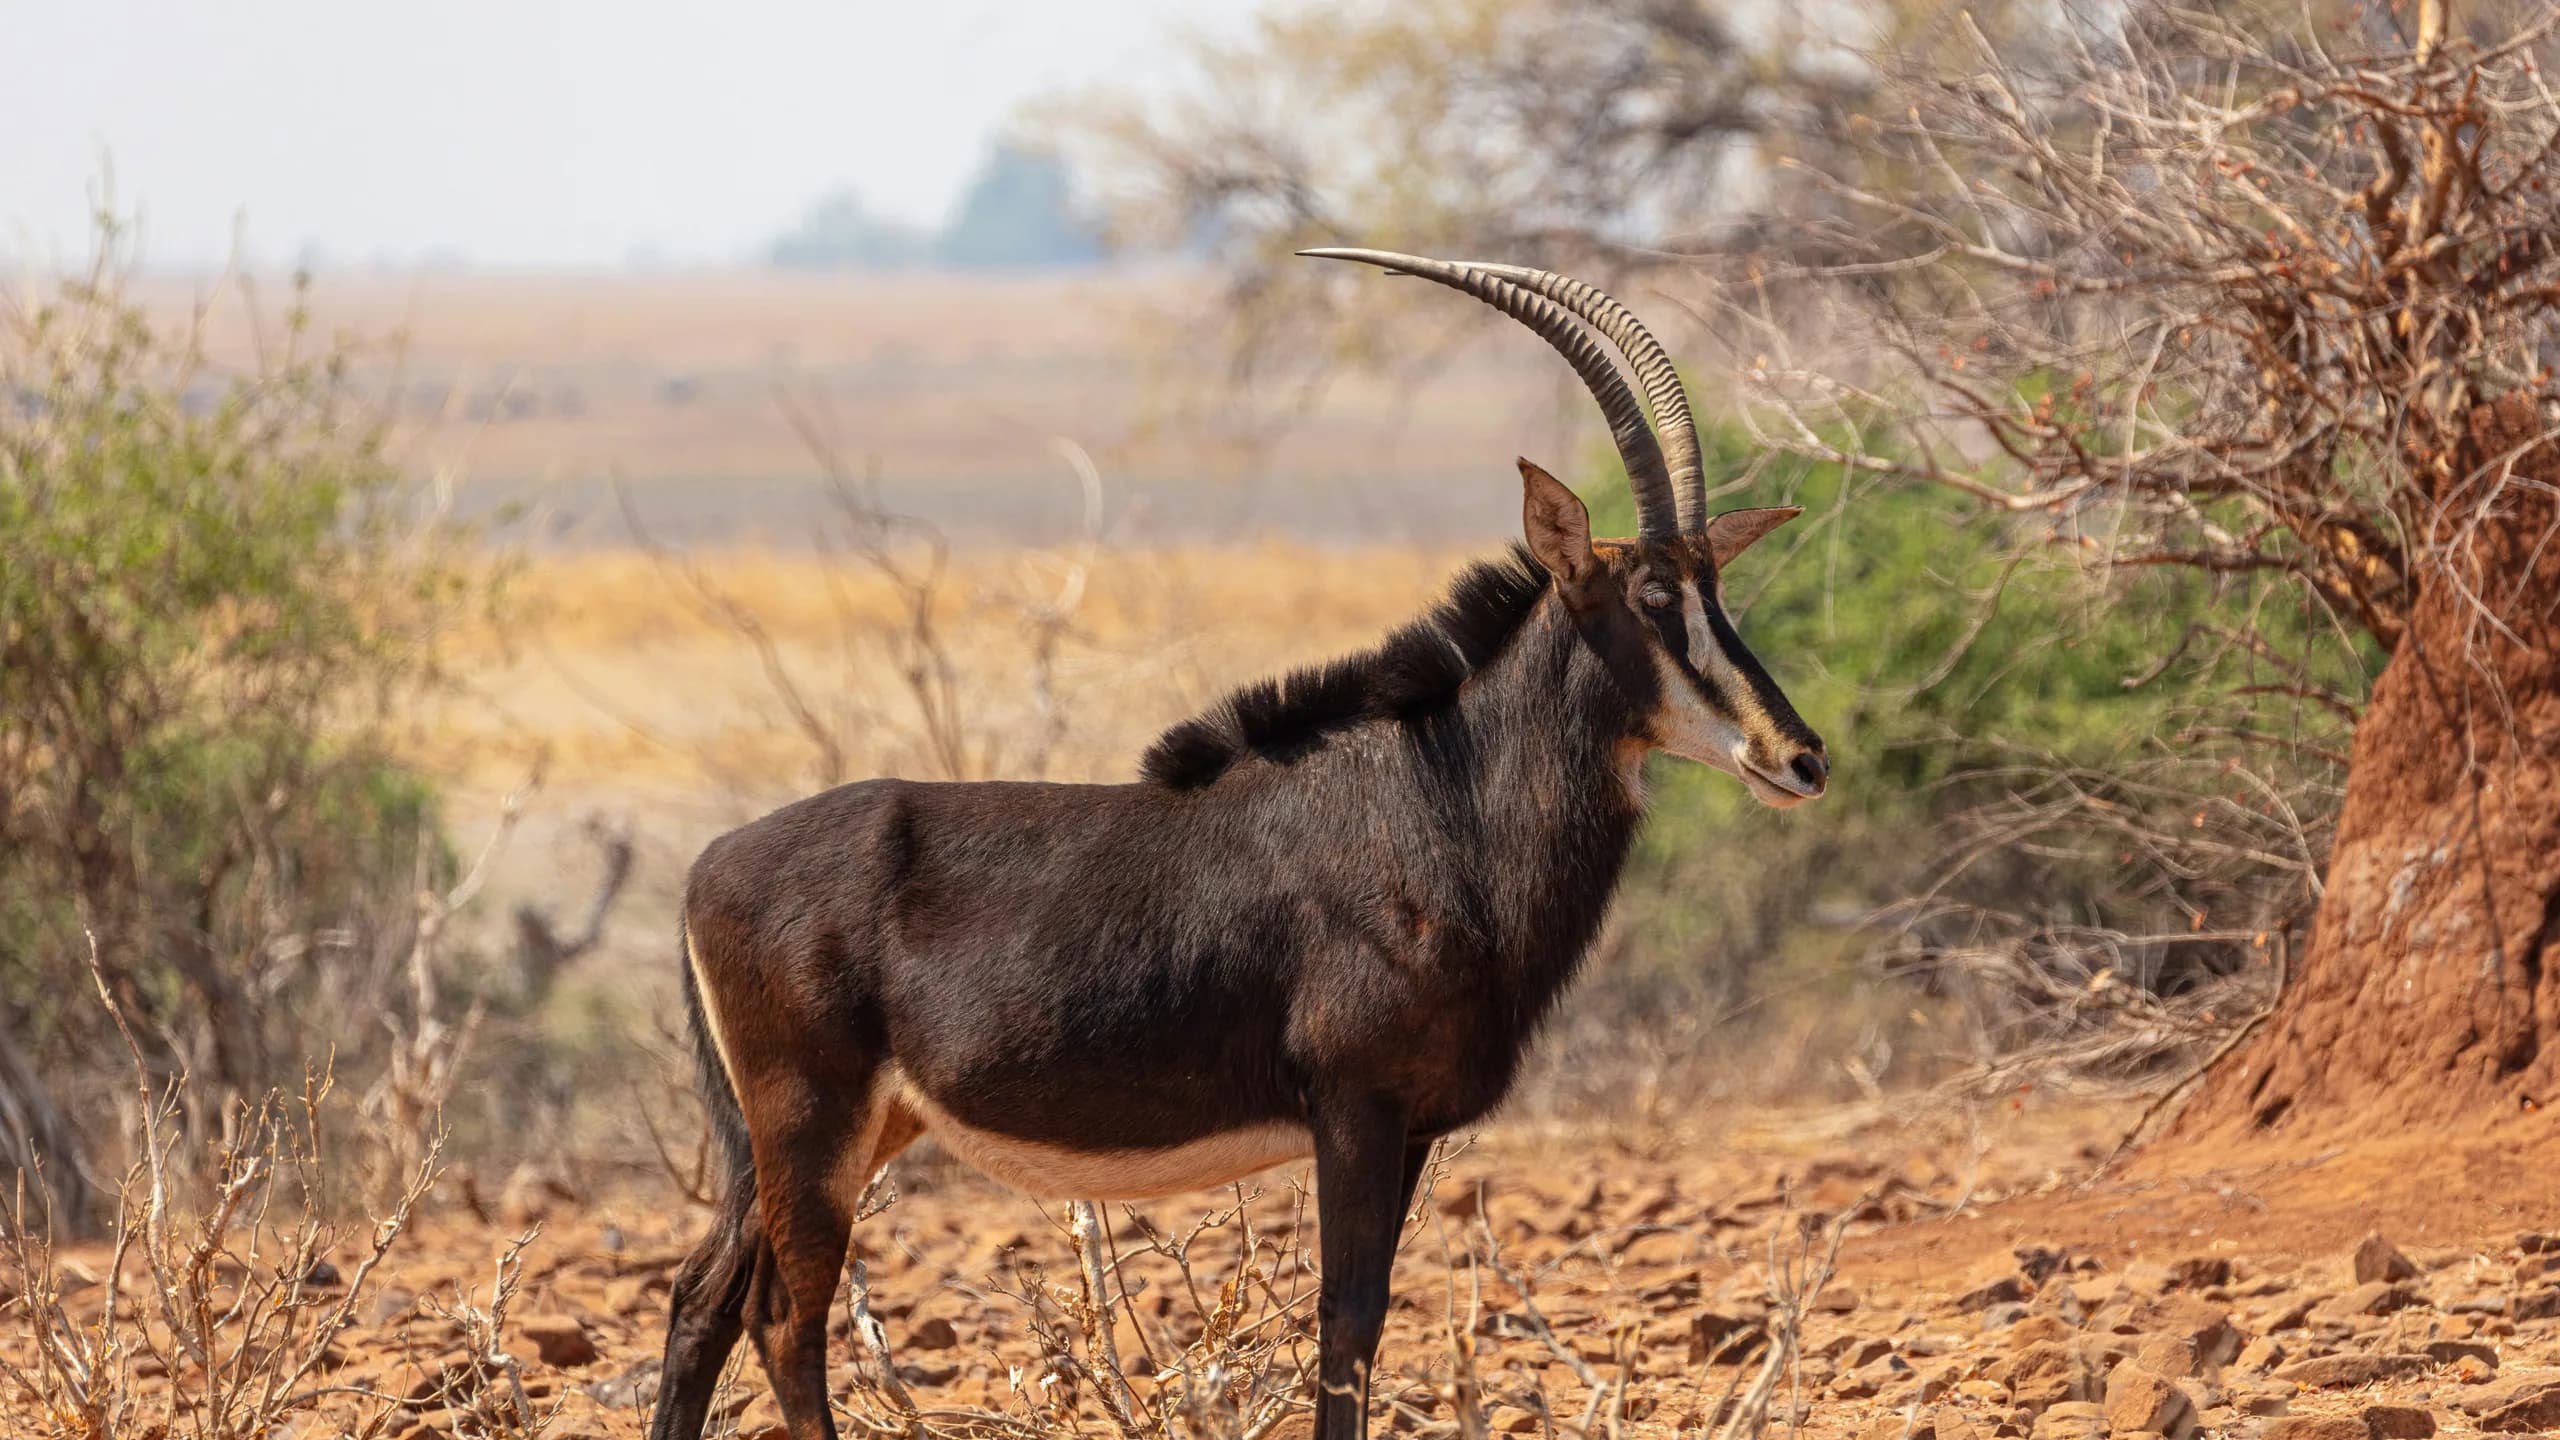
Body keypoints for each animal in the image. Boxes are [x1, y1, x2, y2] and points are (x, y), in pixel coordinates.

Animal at [650, 249, 1830, 1440]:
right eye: (1651, 594)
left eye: (1717, 588)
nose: (1801, 757)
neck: (1436, 805)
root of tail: (708, 867)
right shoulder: (1354, 1109)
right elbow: (1347, 1322)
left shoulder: (1411, 1127)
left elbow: (1365, 1319)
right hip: (811, 1127)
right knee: (784, 1318)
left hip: (815, 1137)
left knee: (701, 1300)